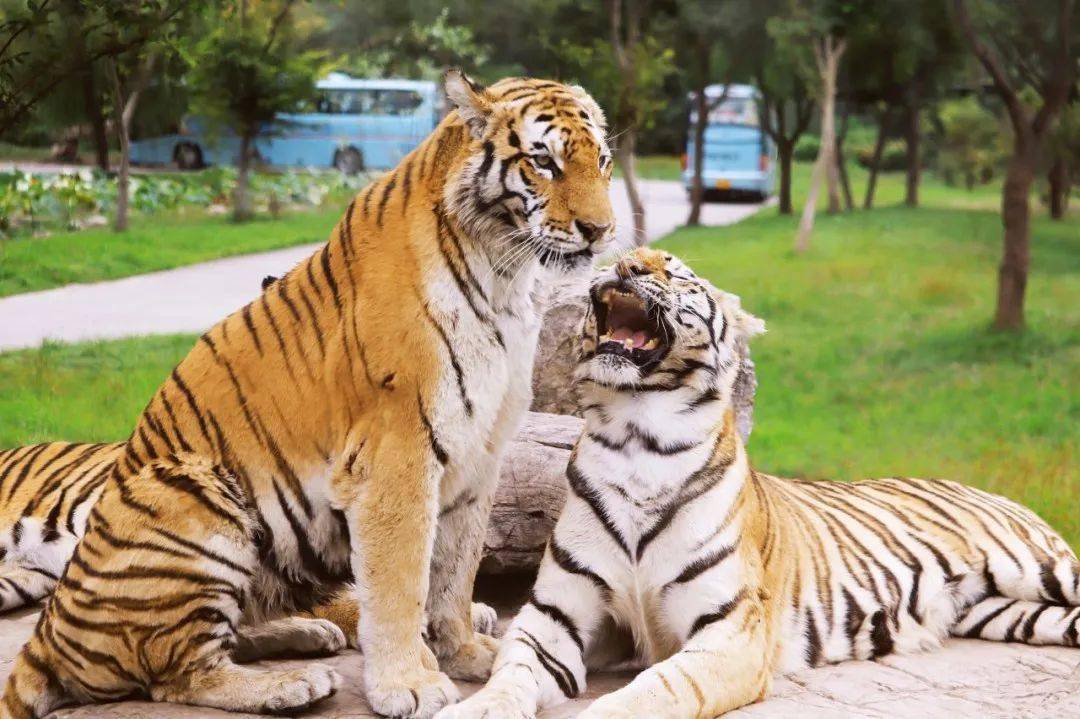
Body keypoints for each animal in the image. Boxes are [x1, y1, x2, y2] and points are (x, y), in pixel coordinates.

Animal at [2, 71, 617, 716]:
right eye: (543, 162)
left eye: (601, 161)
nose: (602, 231)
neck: (505, 277)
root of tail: (49, 633)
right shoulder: (397, 454)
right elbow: (401, 581)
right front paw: (411, 683)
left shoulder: (481, 452)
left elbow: (455, 569)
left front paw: (467, 653)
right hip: (194, 494)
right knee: (176, 672)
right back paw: (290, 684)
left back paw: (306, 636)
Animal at [438, 248, 1080, 716]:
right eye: (623, 256)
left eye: (674, 271)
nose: (627, 266)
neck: (637, 435)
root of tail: (995, 492)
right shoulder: (555, 618)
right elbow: (511, 676)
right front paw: (473, 708)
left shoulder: (730, 632)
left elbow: (655, 689)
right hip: (1009, 612)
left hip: (1043, 569)